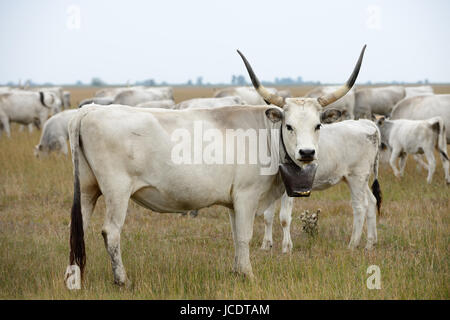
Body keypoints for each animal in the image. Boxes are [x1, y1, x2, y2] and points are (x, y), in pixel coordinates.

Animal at [63, 45, 366, 288]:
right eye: (289, 125)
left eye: (318, 125)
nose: (306, 153)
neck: (263, 134)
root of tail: (90, 110)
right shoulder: (246, 196)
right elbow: (244, 236)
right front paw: (248, 275)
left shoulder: (233, 202)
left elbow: (235, 236)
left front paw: (236, 272)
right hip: (117, 191)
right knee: (111, 232)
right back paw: (122, 280)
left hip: (88, 189)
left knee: (79, 227)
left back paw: (74, 277)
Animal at [262, 119, 382, 254]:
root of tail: (364, 122)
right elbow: (267, 216)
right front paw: (266, 246)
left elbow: (284, 218)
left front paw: (286, 248)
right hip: (358, 180)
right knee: (372, 201)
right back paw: (370, 244)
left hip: (357, 176)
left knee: (360, 207)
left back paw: (352, 245)